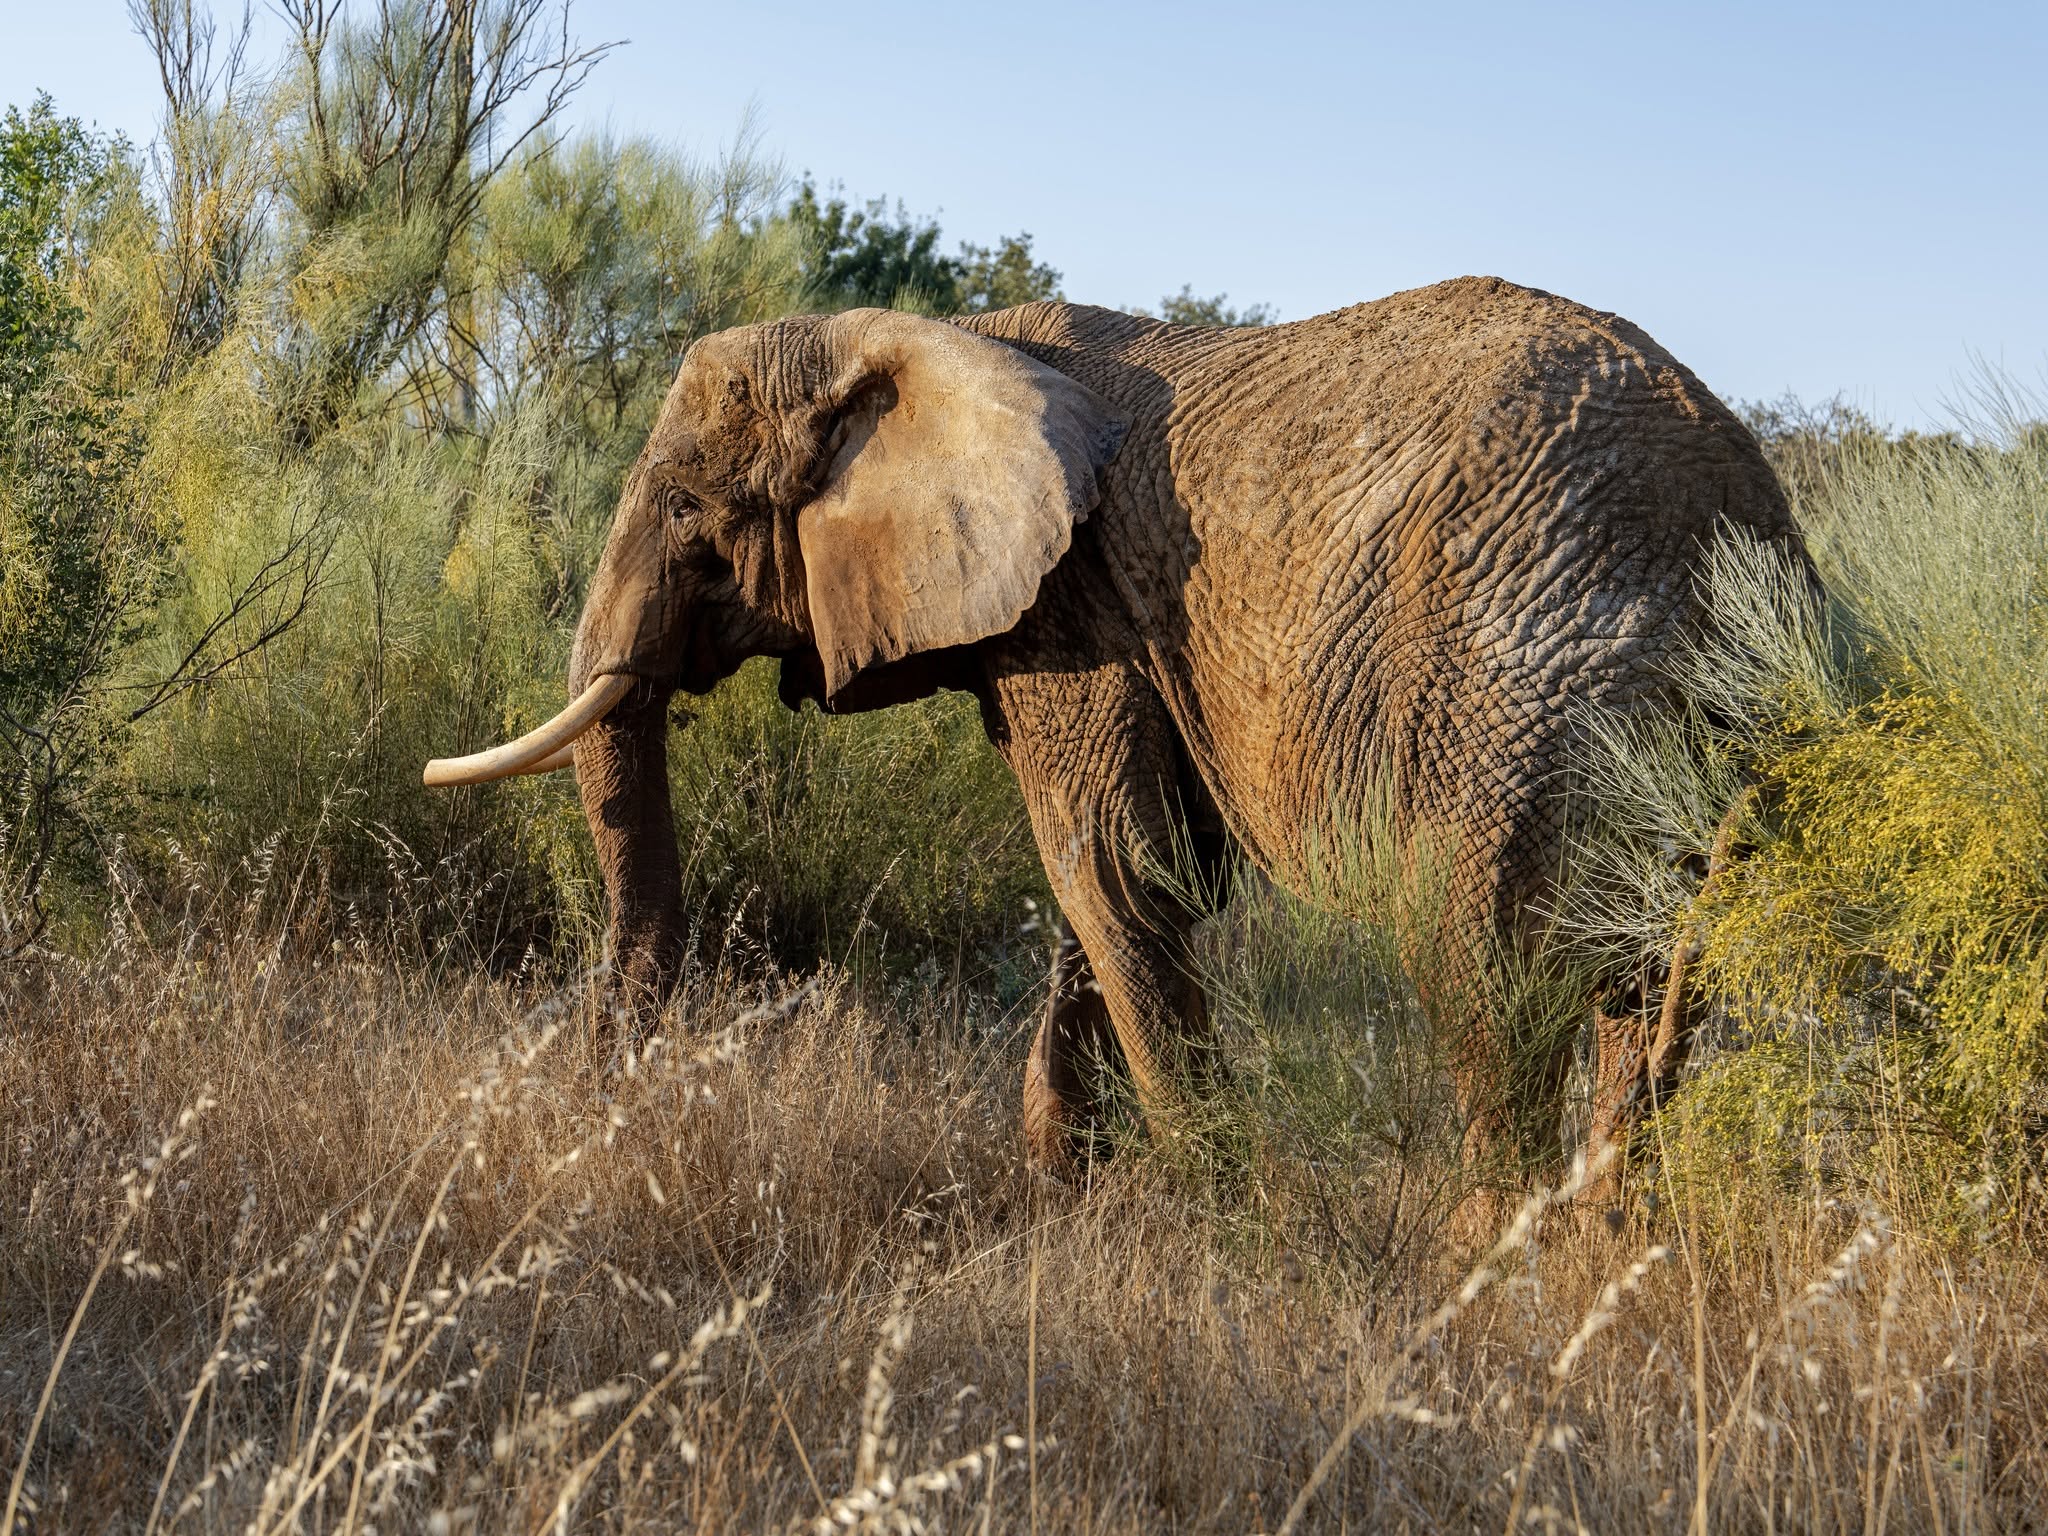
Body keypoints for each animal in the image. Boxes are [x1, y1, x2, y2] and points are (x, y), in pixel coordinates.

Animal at [424, 275, 1802, 1174]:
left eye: (688, 510)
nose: (582, 1115)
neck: (933, 338)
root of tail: (1737, 513)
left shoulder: (1076, 613)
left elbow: (1111, 871)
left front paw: (1217, 1216)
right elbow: (1118, 882)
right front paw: (1057, 1191)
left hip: (1515, 689)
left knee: (1484, 974)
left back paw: (1479, 1273)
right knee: (1635, 986)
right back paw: (1595, 1247)